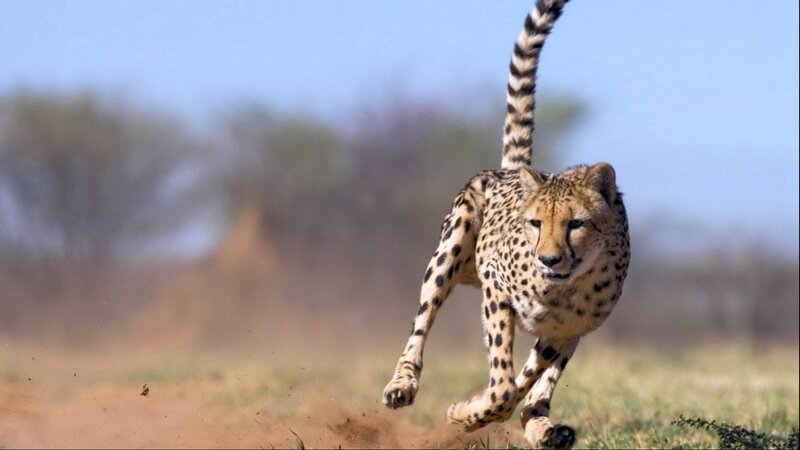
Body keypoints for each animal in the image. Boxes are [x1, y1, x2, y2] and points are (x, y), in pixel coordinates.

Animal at [381, 0, 630, 448]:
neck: (563, 287)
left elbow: (523, 381)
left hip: (570, 334)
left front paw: (476, 413)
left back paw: (543, 426)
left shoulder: (565, 330)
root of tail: (514, 169)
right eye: (535, 223)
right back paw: (402, 384)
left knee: (536, 384)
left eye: (576, 224)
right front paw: (467, 413)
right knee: (422, 322)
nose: (548, 259)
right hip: (450, 250)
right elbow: (502, 384)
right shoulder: (497, 290)